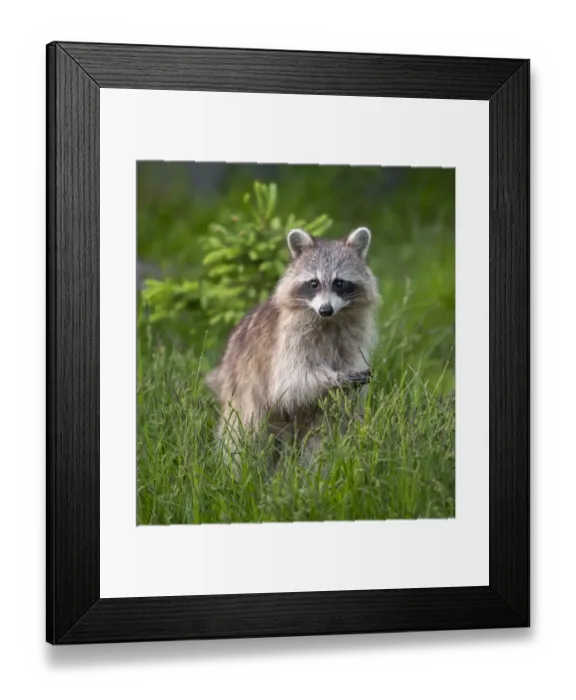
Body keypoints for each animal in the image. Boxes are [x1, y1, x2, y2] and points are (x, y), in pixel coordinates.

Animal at [206, 226, 379, 459]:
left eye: (339, 283)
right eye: (314, 283)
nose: (325, 309)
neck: (330, 321)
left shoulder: (352, 338)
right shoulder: (288, 341)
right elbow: (290, 382)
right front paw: (335, 378)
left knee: (321, 430)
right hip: (242, 389)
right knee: (241, 432)